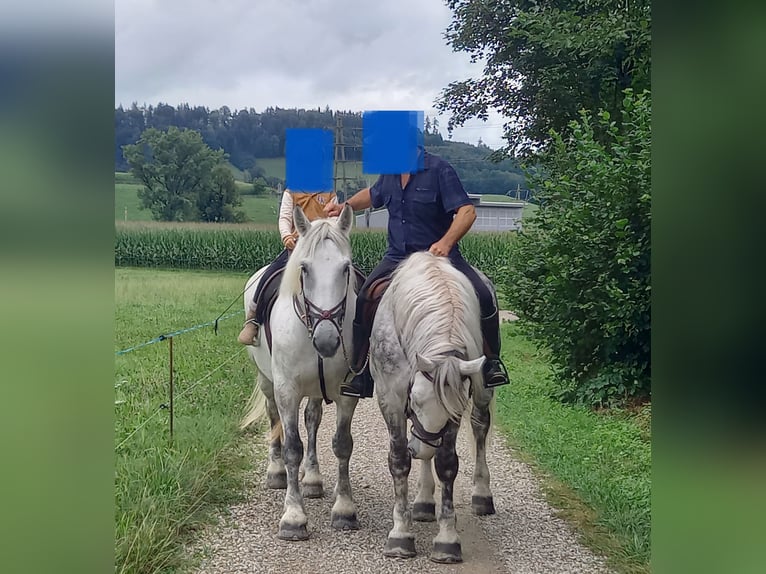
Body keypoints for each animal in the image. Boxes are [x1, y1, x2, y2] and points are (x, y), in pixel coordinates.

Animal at [239, 204, 361, 541]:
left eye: (345, 268)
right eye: (304, 268)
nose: (327, 340)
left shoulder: (347, 394)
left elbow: (342, 444)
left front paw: (344, 510)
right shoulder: (286, 391)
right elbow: (292, 446)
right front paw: (293, 517)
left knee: (313, 420)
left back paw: (313, 479)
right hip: (267, 382)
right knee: (274, 420)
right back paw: (277, 472)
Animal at [370, 251, 497, 563]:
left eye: (453, 410)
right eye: (414, 399)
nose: (420, 445)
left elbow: (447, 463)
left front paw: (447, 540)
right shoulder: (391, 399)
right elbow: (399, 460)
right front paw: (400, 535)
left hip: (483, 393)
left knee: (479, 428)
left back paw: (481, 494)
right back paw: (424, 501)